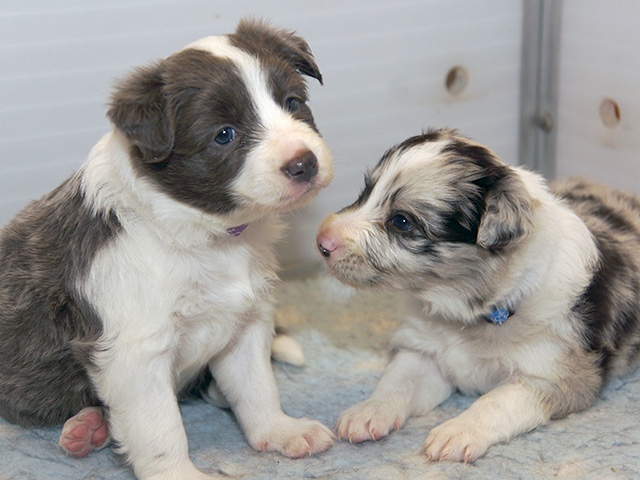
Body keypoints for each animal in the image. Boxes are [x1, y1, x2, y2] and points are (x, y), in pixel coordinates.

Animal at [0, 19, 334, 479]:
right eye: (224, 135)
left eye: (293, 102)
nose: (304, 163)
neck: (208, 234)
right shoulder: (135, 350)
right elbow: (160, 428)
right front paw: (178, 473)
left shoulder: (246, 323)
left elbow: (257, 386)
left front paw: (279, 431)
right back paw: (86, 428)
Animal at [316, 128, 640, 462]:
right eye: (366, 191)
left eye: (401, 221)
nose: (322, 242)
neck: (469, 312)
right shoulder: (424, 352)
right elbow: (398, 380)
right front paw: (367, 411)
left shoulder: (554, 375)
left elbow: (497, 401)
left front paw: (456, 431)